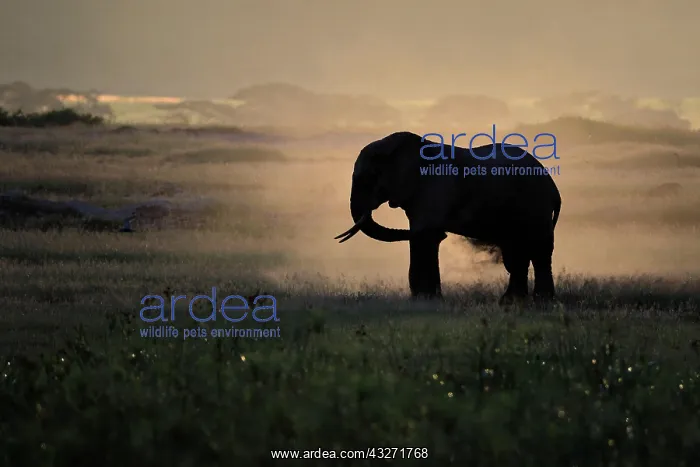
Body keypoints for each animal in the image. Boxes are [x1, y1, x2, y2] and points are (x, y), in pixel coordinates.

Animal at [334, 131, 562, 305]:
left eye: (368, 178)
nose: (445, 234)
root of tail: (552, 186)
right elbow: (423, 236)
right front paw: (425, 299)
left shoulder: (434, 188)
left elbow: (425, 236)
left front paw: (426, 299)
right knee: (516, 253)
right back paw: (510, 302)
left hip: (535, 204)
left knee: (539, 251)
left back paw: (541, 301)